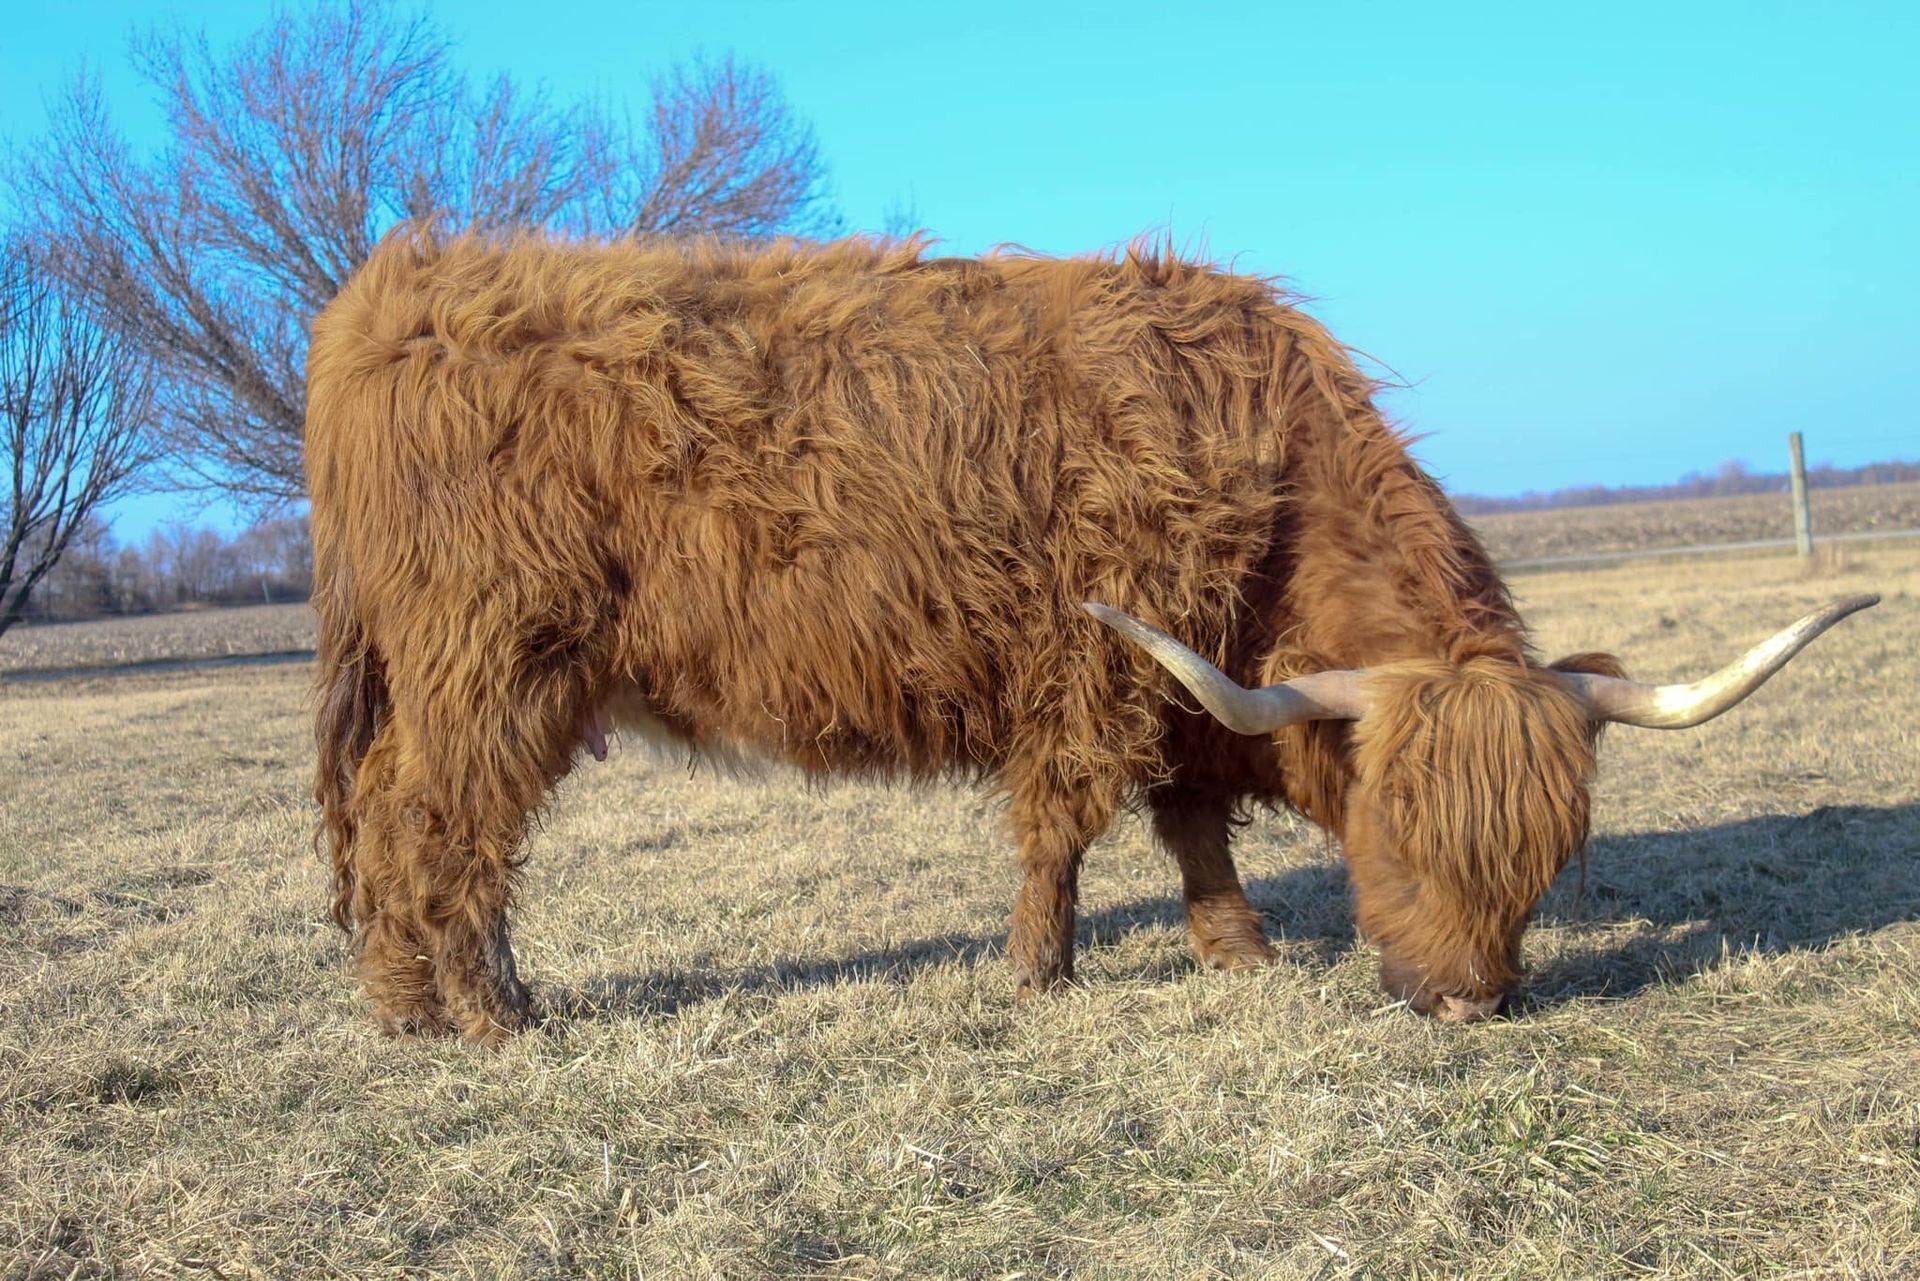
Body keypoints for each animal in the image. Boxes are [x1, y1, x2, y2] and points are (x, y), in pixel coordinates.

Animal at [307, 227, 1875, 1042]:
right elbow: (1067, 820)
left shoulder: (1195, 687)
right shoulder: (1099, 657)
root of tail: (401, 282)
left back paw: (415, 1003)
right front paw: (1040, 971)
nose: (1461, 1006)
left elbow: (1191, 825)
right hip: (492, 661)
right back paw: (481, 1013)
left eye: (1550, 861)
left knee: (399, 819)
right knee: (435, 819)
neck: (1276, 478)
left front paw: (1235, 950)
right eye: (1397, 835)